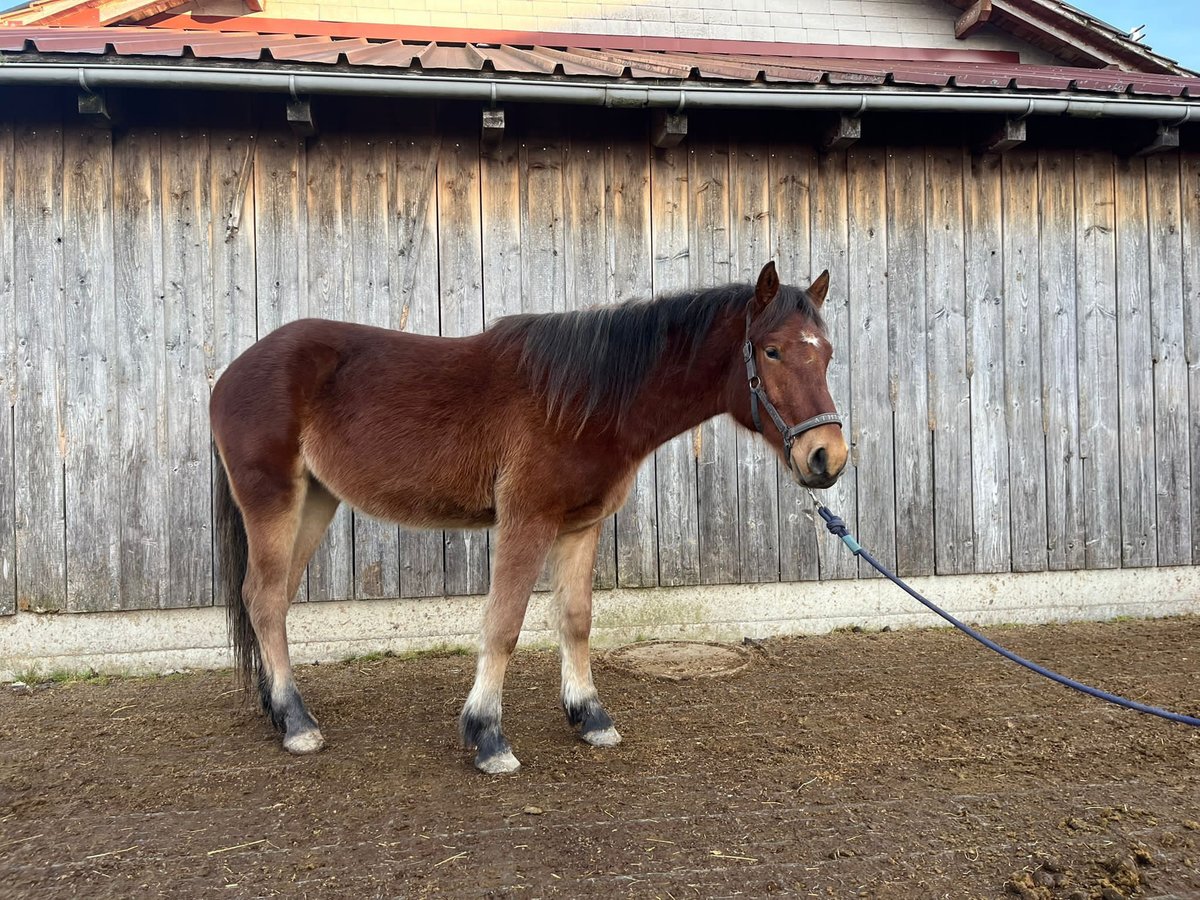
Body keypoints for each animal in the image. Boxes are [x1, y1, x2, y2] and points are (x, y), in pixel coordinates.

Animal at [208, 260, 844, 777]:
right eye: (772, 351)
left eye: (827, 352)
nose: (827, 457)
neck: (587, 397)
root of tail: (232, 372)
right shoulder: (527, 520)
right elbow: (504, 624)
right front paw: (488, 736)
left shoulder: (580, 526)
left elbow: (576, 619)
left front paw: (589, 716)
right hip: (274, 500)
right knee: (264, 598)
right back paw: (297, 724)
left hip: (315, 501)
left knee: (271, 598)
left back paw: (279, 710)